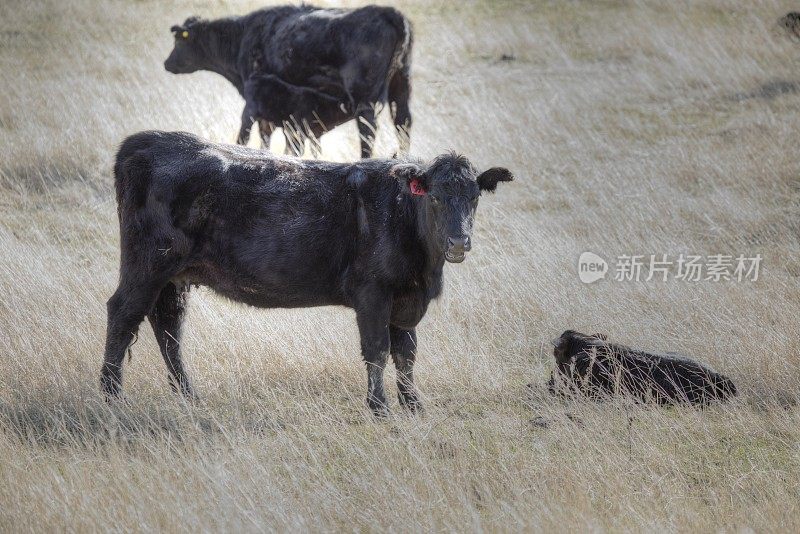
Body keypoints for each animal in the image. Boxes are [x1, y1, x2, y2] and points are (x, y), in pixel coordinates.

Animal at [103, 132, 512, 416]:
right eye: (435, 197)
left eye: (474, 196)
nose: (459, 241)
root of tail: (146, 142)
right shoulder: (373, 293)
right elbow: (377, 350)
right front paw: (379, 408)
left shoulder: (406, 302)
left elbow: (407, 354)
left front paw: (413, 406)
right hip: (148, 265)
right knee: (123, 314)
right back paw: (111, 396)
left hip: (173, 276)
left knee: (169, 327)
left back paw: (188, 395)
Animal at [163, 4, 412, 159]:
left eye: (179, 42)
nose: (167, 63)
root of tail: (389, 12)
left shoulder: (259, 102)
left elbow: (262, 135)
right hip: (401, 85)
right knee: (403, 123)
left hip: (364, 96)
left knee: (367, 132)